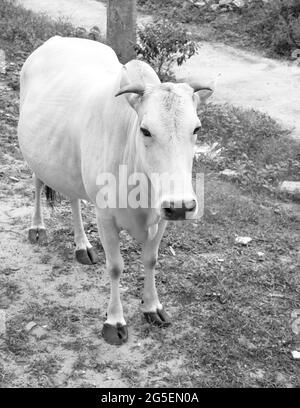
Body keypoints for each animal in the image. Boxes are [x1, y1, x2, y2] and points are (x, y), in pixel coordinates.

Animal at [17, 37, 213, 344]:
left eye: (197, 129)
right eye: (145, 130)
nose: (181, 206)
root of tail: (57, 39)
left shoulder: (162, 218)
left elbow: (151, 259)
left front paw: (152, 306)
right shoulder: (106, 218)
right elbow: (116, 266)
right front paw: (114, 321)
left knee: (73, 198)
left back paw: (82, 245)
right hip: (35, 155)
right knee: (37, 184)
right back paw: (37, 228)